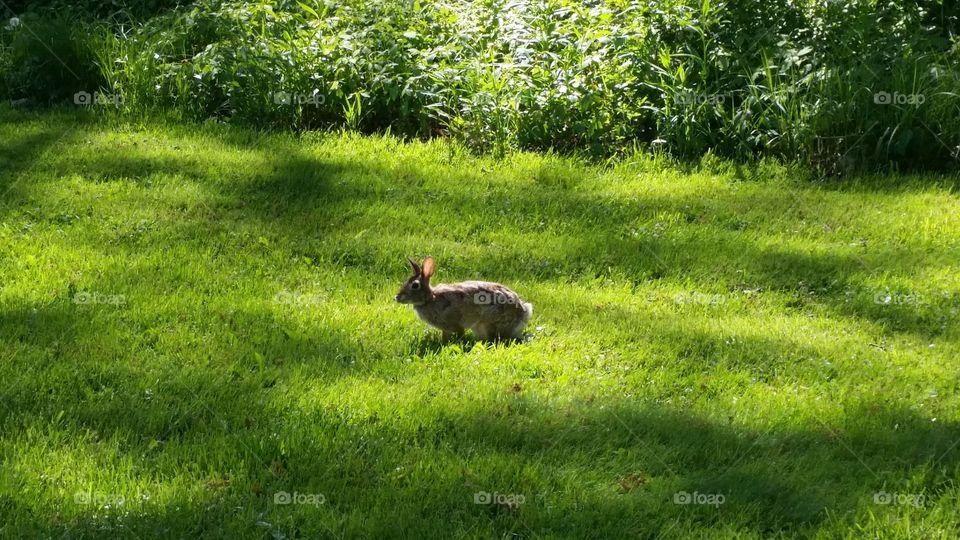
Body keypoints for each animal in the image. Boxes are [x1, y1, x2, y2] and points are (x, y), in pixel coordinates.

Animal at [395, 256, 533, 341]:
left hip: (486, 323)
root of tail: (523, 314)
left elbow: (459, 332)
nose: (397, 297)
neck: (430, 298)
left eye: (415, 285)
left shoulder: (453, 323)